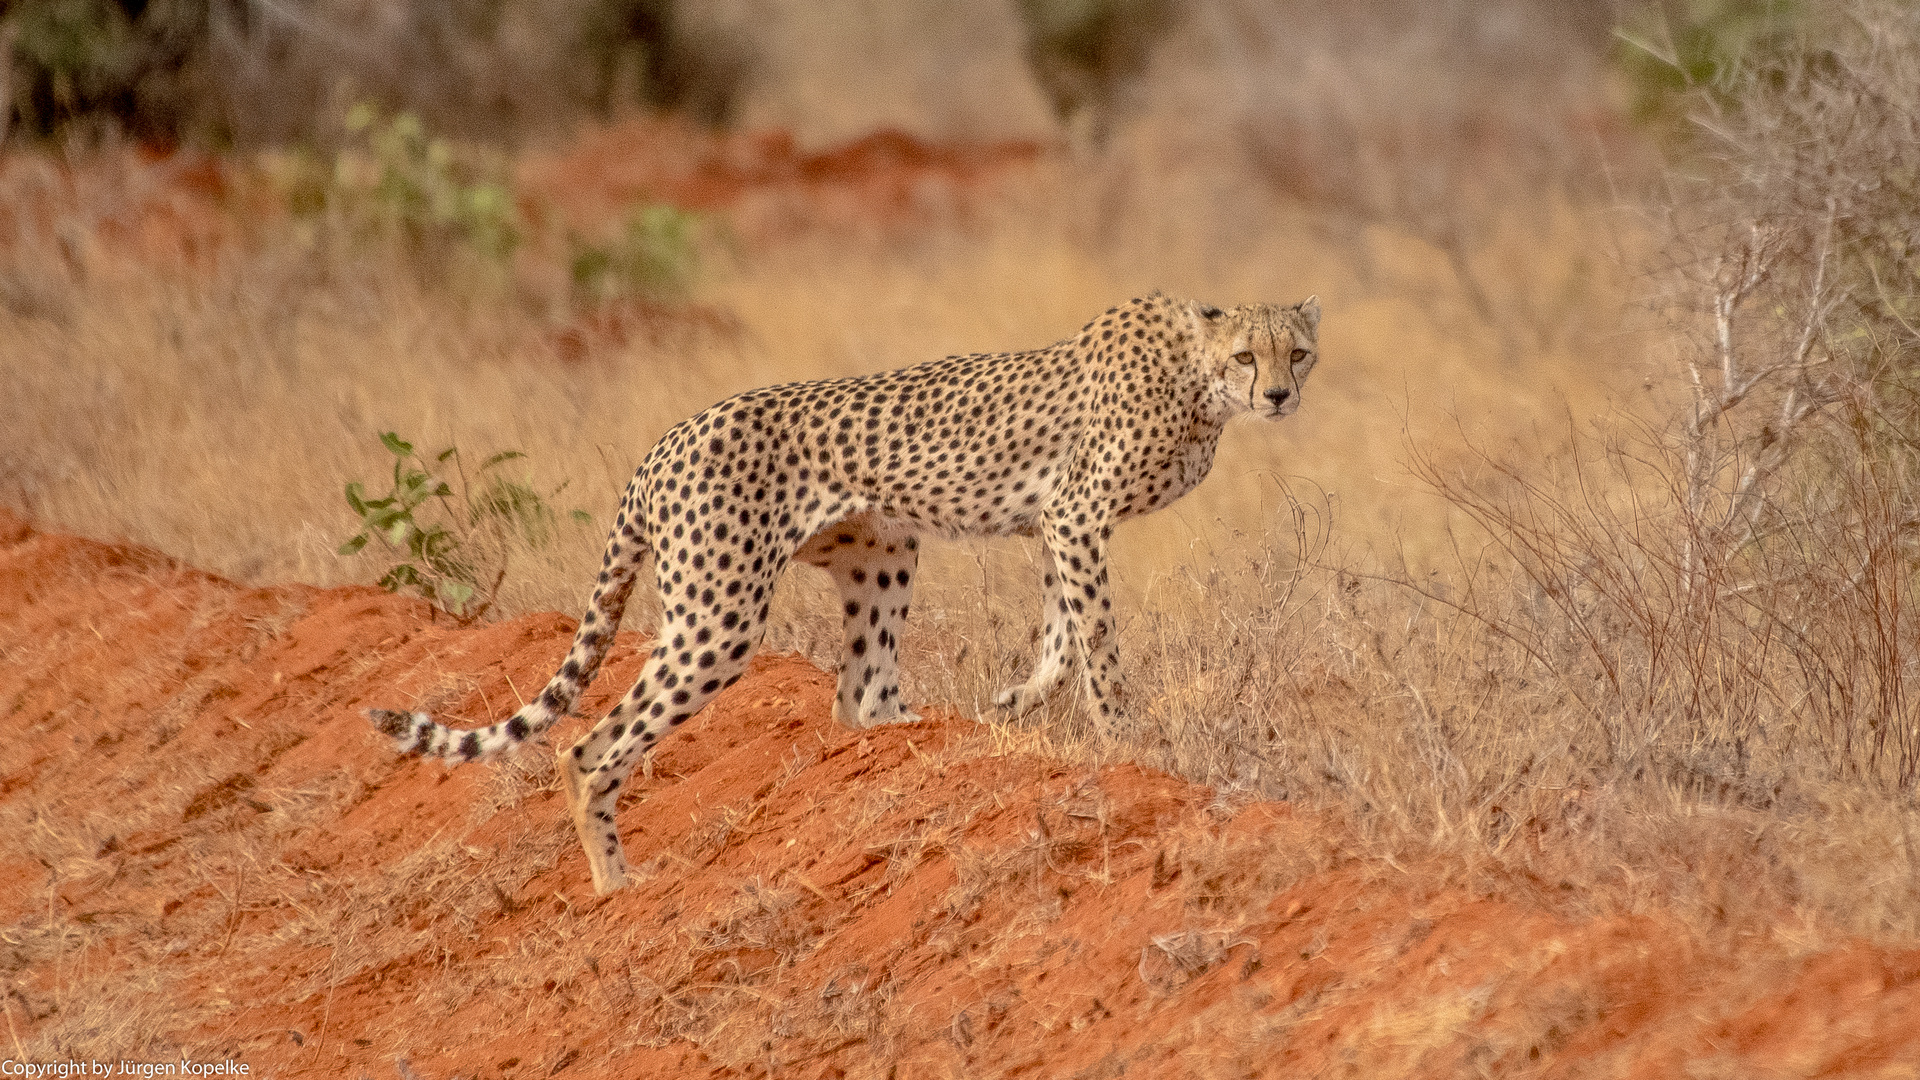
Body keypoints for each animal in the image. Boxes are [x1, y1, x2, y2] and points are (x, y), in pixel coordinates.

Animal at [366, 290, 1320, 887]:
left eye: (1299, 353)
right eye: (1249, 354)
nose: (1279, 394)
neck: (1196, 382)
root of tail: (662, 444)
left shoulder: (1056, 521)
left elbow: (1060, 635)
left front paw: (1016, 704)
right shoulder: (1077, 513)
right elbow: (1099, 640)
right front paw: (1126, 737)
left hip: (882, 548)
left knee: (855, 695)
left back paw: (915, 728)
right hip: (718, 616)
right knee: (589, 748)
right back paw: (617, 886)